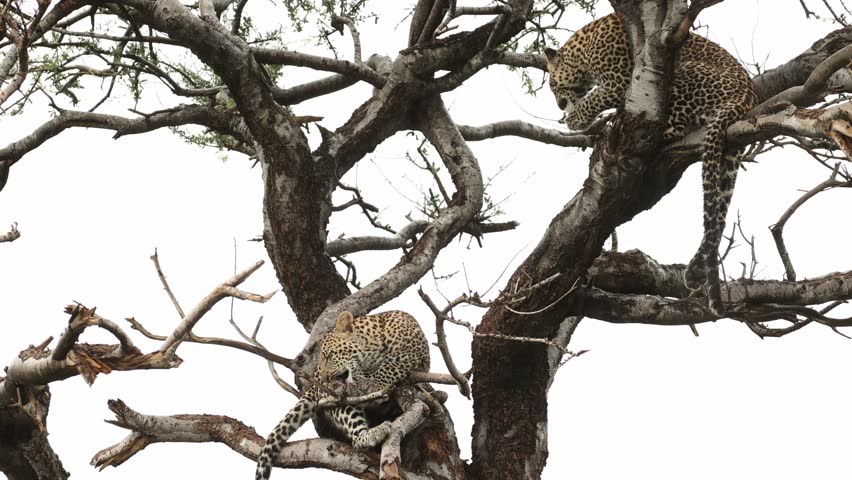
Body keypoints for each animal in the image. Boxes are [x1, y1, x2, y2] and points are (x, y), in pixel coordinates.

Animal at [255, 310, 430, 480]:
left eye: (329, 355)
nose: (324, 378)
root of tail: (313, 385)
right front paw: (367, 386)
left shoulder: (415, 353)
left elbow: (390, 366)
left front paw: (373, 384)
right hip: (335, 403)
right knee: (356, 439)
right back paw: (373, 432)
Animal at [544, 13, 759, 316]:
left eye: (552, 84)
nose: (560, 105)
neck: (584, 51)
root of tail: (748, 96)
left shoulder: (621, 81)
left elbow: (596, 97)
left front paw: (578, 119)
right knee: (718, 213)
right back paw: (695, 271)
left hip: (680, 76)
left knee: (675, 126)